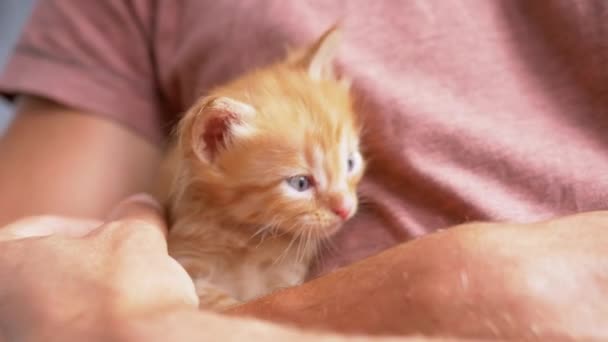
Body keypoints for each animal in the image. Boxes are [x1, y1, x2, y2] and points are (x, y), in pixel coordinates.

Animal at [158, 26, 366, 310]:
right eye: (300, 183)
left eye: (350, 163)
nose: (345, 209)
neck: (250, 238)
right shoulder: (188, 263)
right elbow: (225, 306)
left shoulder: (288, 274)